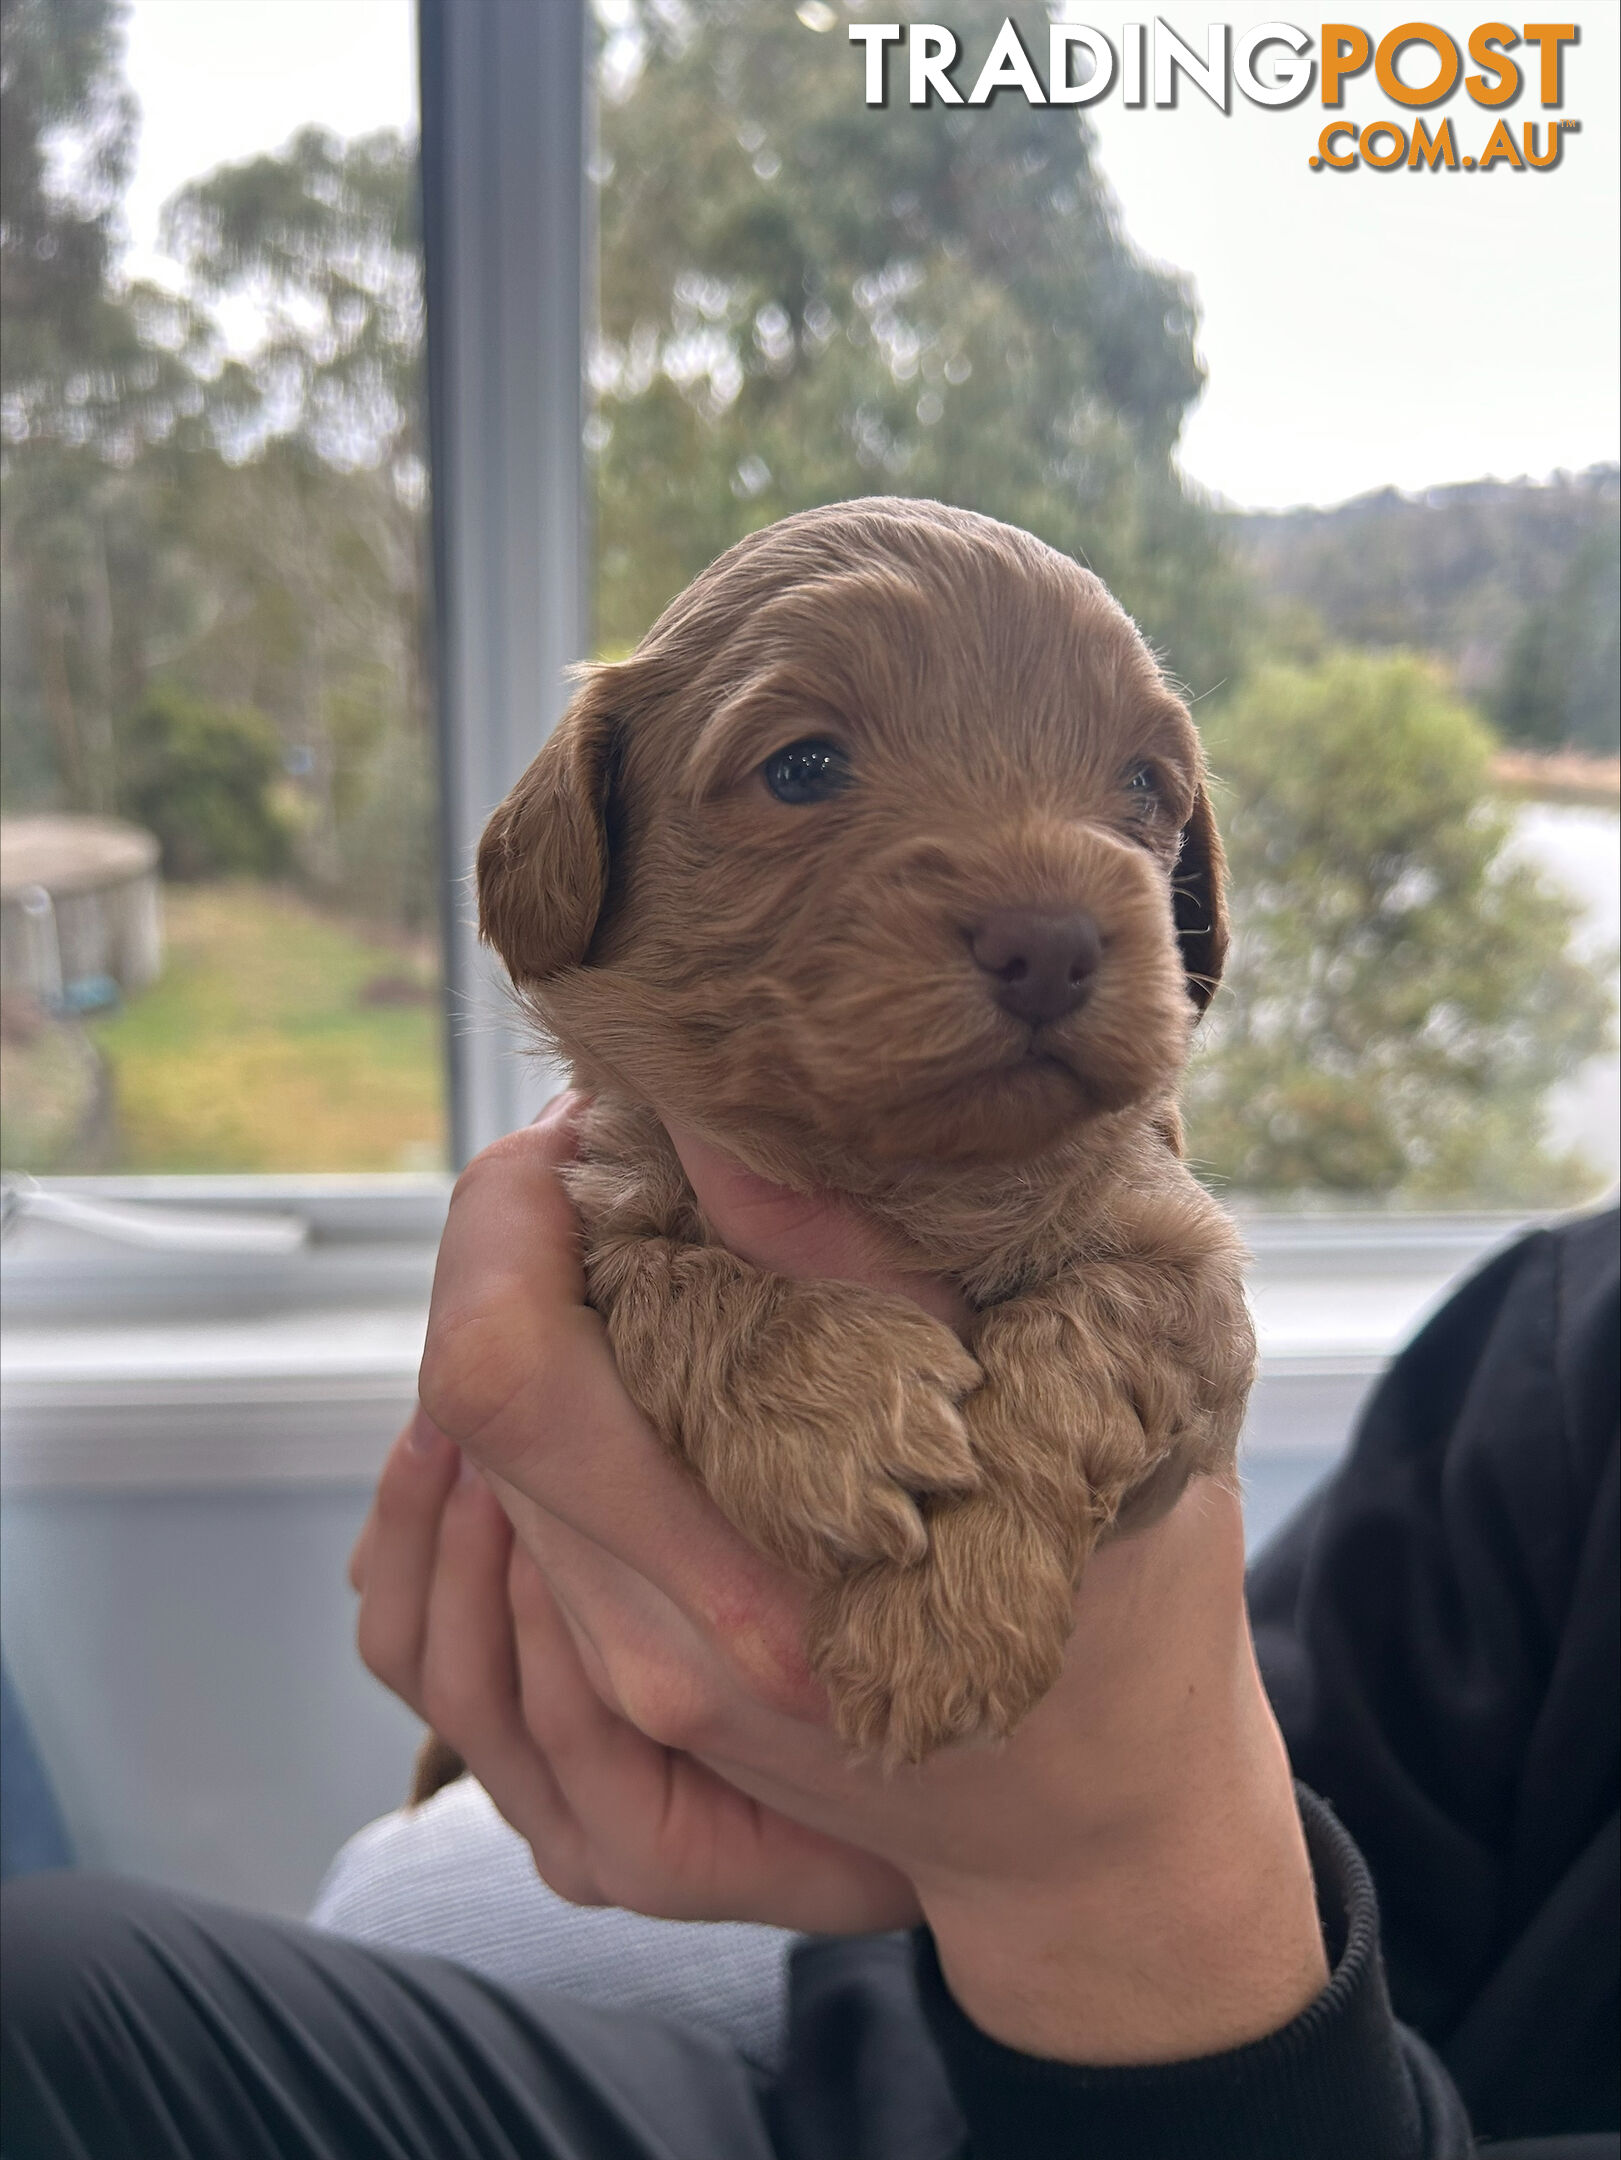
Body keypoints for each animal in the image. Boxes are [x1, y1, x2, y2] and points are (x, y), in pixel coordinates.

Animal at [469, 505, 1253, 1771]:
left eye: (1143, 781)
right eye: (802, 767)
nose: (1052, 942)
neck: (912, 1180)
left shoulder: (1192, 1278)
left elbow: (1082, 1329)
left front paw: (948, 1614)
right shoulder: (618, 1188)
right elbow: (671, 1279)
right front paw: (834, 1415)